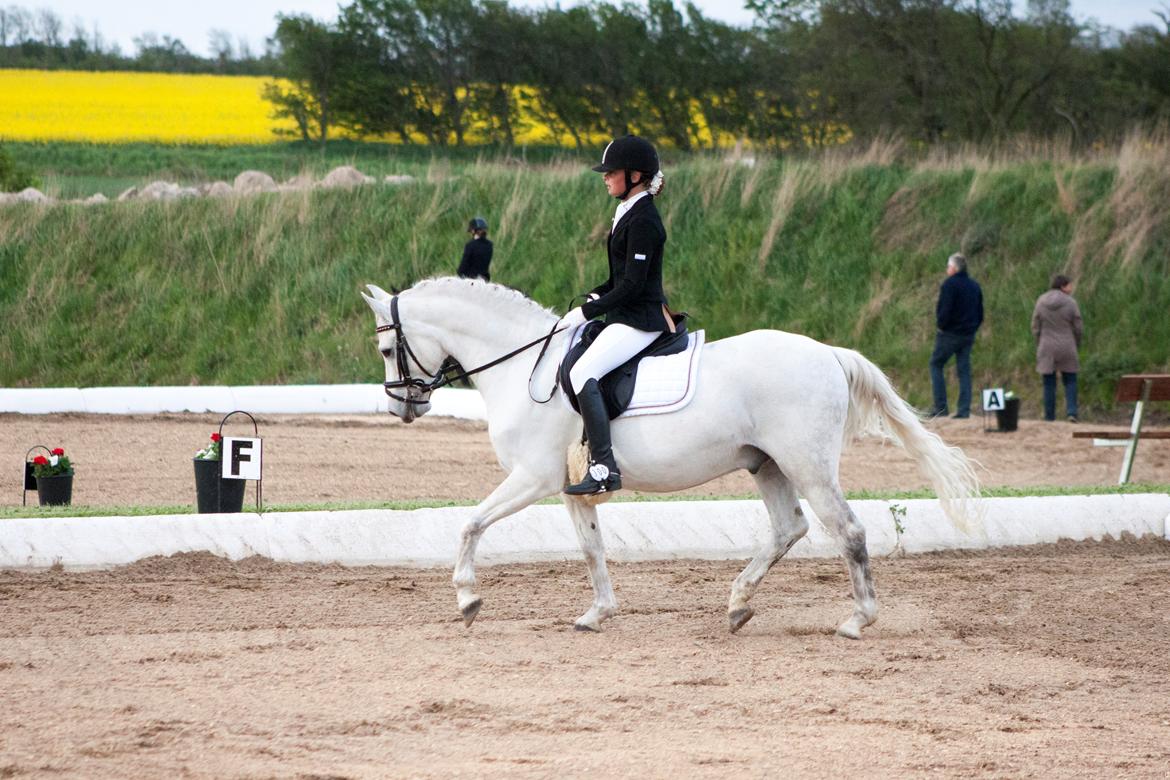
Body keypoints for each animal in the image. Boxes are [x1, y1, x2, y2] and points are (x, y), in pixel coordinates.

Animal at [358, 277, 978, 636]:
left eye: (388, 347)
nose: (401, 407)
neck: (523, 366)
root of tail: (827, 352)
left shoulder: (531, 478)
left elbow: (470, 523)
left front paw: (467, 598)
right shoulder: (568, 485)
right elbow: (591, 548)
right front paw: (597, 614)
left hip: (806, 464)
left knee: (846, 531)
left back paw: (857, 619)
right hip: (767, 464)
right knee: (789, 528)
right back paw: (737, 605)